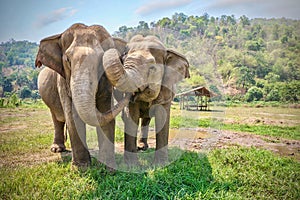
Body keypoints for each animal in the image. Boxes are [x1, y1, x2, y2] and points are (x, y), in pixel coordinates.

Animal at [34, 23, 130, 170]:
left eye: (101, 60)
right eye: (67, 59)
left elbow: (105, 111)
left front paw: (109, 169)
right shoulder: (63, 80)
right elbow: (72, 116)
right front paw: (81, 168)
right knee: (57, 118)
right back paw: (57, 149)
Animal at [102, 35, 189, 165]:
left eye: (152, 68)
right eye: (123, 61)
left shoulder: (167, 91)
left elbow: (162, 117)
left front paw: (161, 164)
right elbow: (131, 116)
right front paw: (131, 166)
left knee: (146, 119)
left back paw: (143, 147)